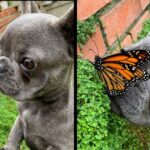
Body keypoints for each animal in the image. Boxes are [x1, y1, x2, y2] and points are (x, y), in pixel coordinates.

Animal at [0, 1, 74, 150]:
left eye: (28, 63)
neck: (36, 105)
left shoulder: (60, 146)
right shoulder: (19, 120)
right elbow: (14, 134)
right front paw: (9, 146)